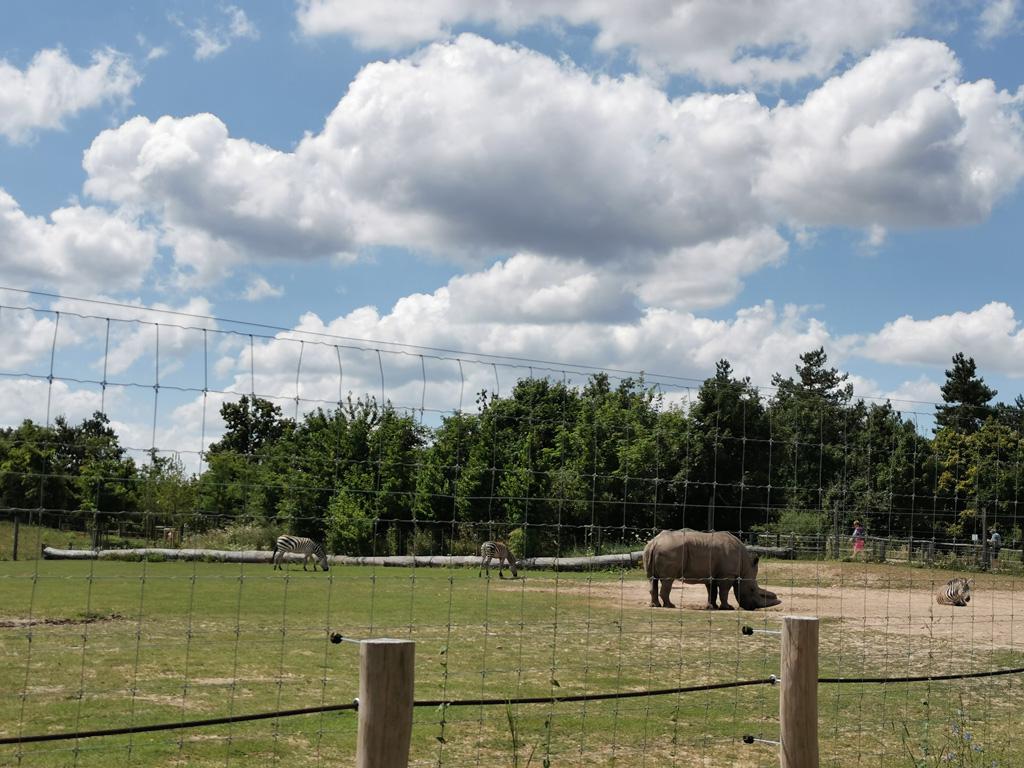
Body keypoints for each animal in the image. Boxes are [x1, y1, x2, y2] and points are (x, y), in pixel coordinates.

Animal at [643, 530, 781, 610]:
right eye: (752, 589)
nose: (752, 608)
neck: (744, 567)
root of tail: (655, 542)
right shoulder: (727, 574)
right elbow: (724, 591)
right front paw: (728, 608)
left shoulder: (712, 573)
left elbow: (712, 591)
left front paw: (712, 607)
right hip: (670, 550)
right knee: (668, 580)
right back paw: (670, 606)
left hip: (650, 549)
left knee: (652, 579)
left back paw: (655, 605)